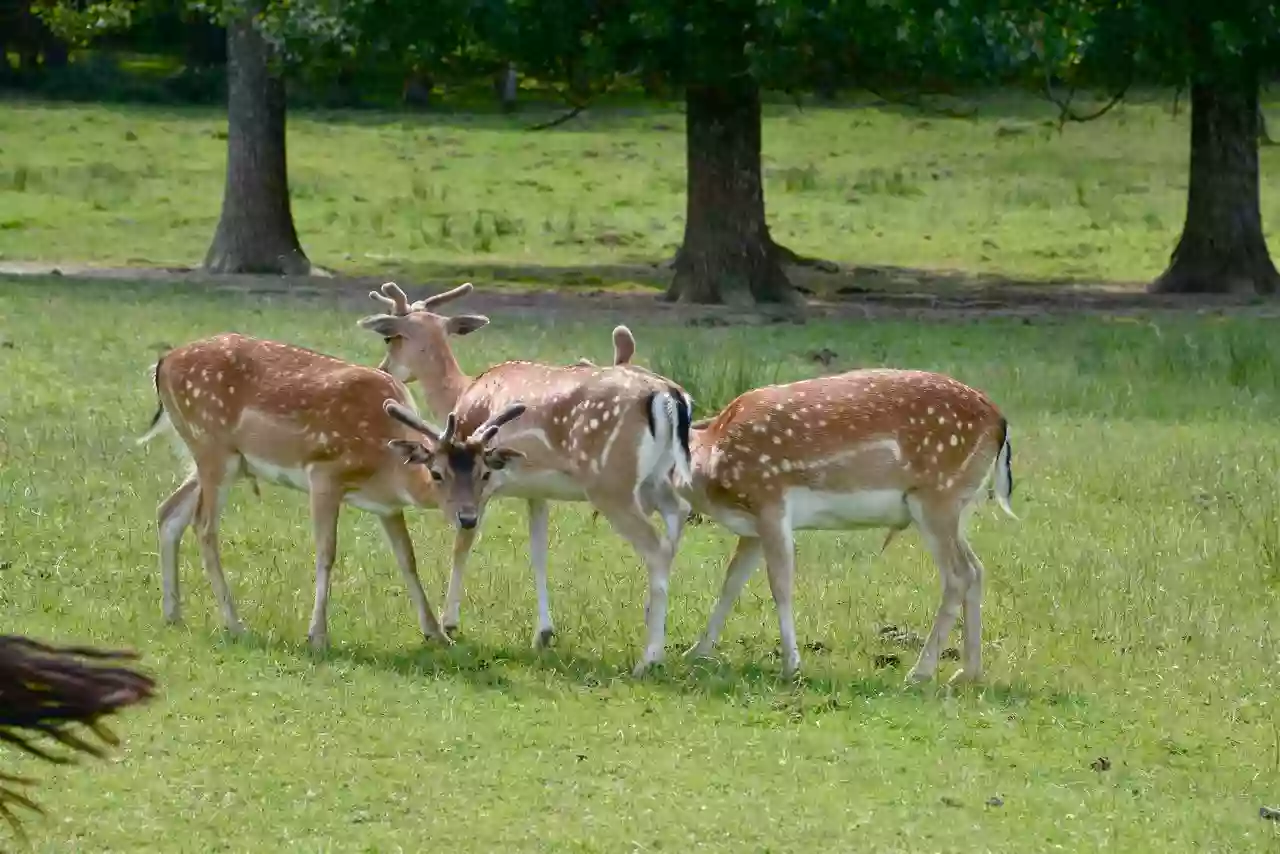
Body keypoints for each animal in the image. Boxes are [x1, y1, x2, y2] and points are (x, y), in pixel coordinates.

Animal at [135, 330, 524, 650]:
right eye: (438, 473)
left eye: (484, 473)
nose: (468, 518)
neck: (385, 465)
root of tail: (162, 364)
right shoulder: (323, 474)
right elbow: (326, 552)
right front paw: (317, 635)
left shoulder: (387, 505)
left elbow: (407, 559)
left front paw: (437, 633)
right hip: (213, 446)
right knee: (204, 527)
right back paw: (235, 624)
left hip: (219, 458)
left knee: (168, 512)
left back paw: (173, 613)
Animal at [355, 280, 696, 676]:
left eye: (389, 338)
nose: (384, 369)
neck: (461, 394)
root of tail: (670, 397)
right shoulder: (537, 490)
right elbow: (538, 551)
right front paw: (544, 633)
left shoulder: (481, 479)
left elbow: (462, 542)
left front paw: (449, 622)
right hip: (659, 479)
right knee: (676, 522)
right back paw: (653, 621)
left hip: (611, 482)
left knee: (656, 547)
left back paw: (649, 658)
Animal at [680, 371, 1018, 686]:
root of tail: (999, 421)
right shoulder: (751, 528)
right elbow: (732, 582)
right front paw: (696, 652)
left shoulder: (770, 501)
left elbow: (780, 585)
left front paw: (791, 667)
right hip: (960, 505)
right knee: (977, 568)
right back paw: (968, 672)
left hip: (937, 497)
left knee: (959, 574)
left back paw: (920, 673)